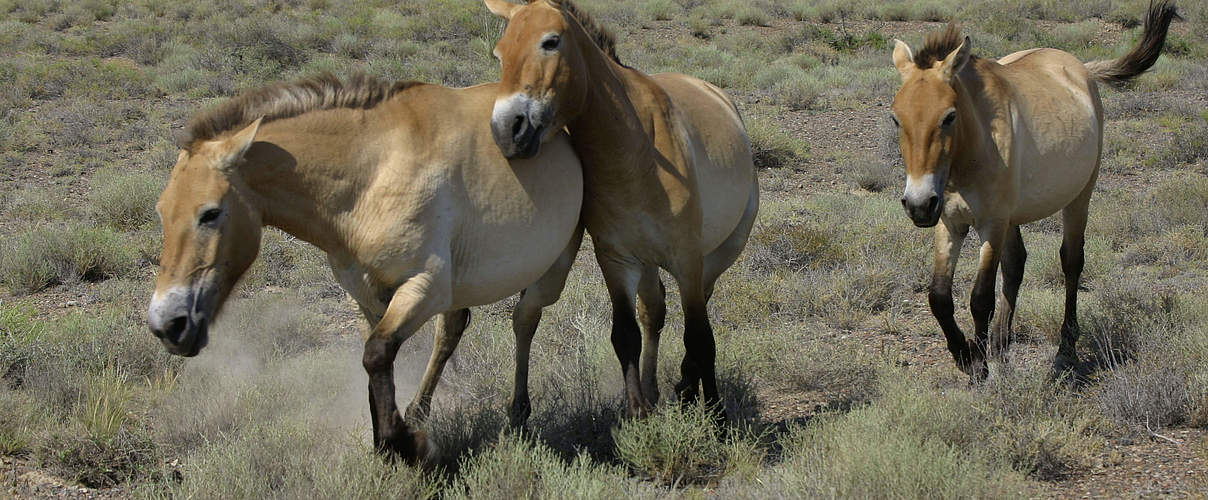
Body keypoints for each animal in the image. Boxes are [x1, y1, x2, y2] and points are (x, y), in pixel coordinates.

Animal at [480, 0, 753, 417]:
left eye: (550, 42)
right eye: (500, 54)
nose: (506, 130)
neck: (636, 152)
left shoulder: (687, 258)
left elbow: (701, 336)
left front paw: (718, 417)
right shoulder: (616, 258)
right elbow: (626, 334)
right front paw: (638, 412)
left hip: (721, 253)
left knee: (698, 311)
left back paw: (689, 385)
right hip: (649, 261)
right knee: (654, 310)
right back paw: (669, 389)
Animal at [889, 0, 1179, 379]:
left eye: (949, 116)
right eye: (896, 118)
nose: (919, 204)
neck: (974, 150)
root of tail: (1081, 69)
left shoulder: (992, 225)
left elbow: (980, 298)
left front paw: (978, 363)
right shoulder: (949, 223)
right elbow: (939, 297)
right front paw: (966, 355)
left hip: (1078, 199)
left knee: (1072, 262)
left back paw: (1064, 349)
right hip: (1013, 218)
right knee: (1016, 265)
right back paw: (1001, 343)